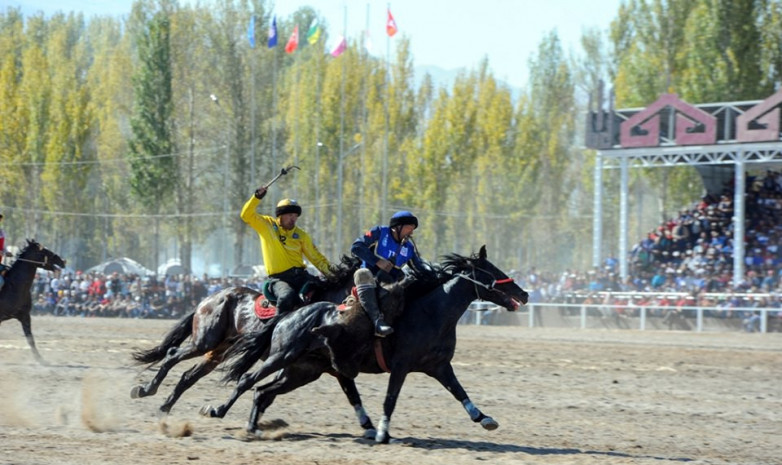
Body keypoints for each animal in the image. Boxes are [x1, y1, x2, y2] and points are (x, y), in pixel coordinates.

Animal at [129, 256, 362, 412]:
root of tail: (211, 297)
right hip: (204, 341)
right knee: (172, 354)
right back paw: (147, 390)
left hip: (218, 351)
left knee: (188, 376)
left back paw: (164, 405)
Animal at [199, 243, 528, 442]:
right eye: (492, 271)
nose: (524, 294)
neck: (431, 311)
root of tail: (289, 315)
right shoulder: (400, 366)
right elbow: (389, 399)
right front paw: (381, 432)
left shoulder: (438, 366)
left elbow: (459, 391)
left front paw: (484, 418)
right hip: (282, 356)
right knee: (248, 380)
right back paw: (219, 411)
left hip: (302, 371)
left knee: (263, 392)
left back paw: (253, 426)